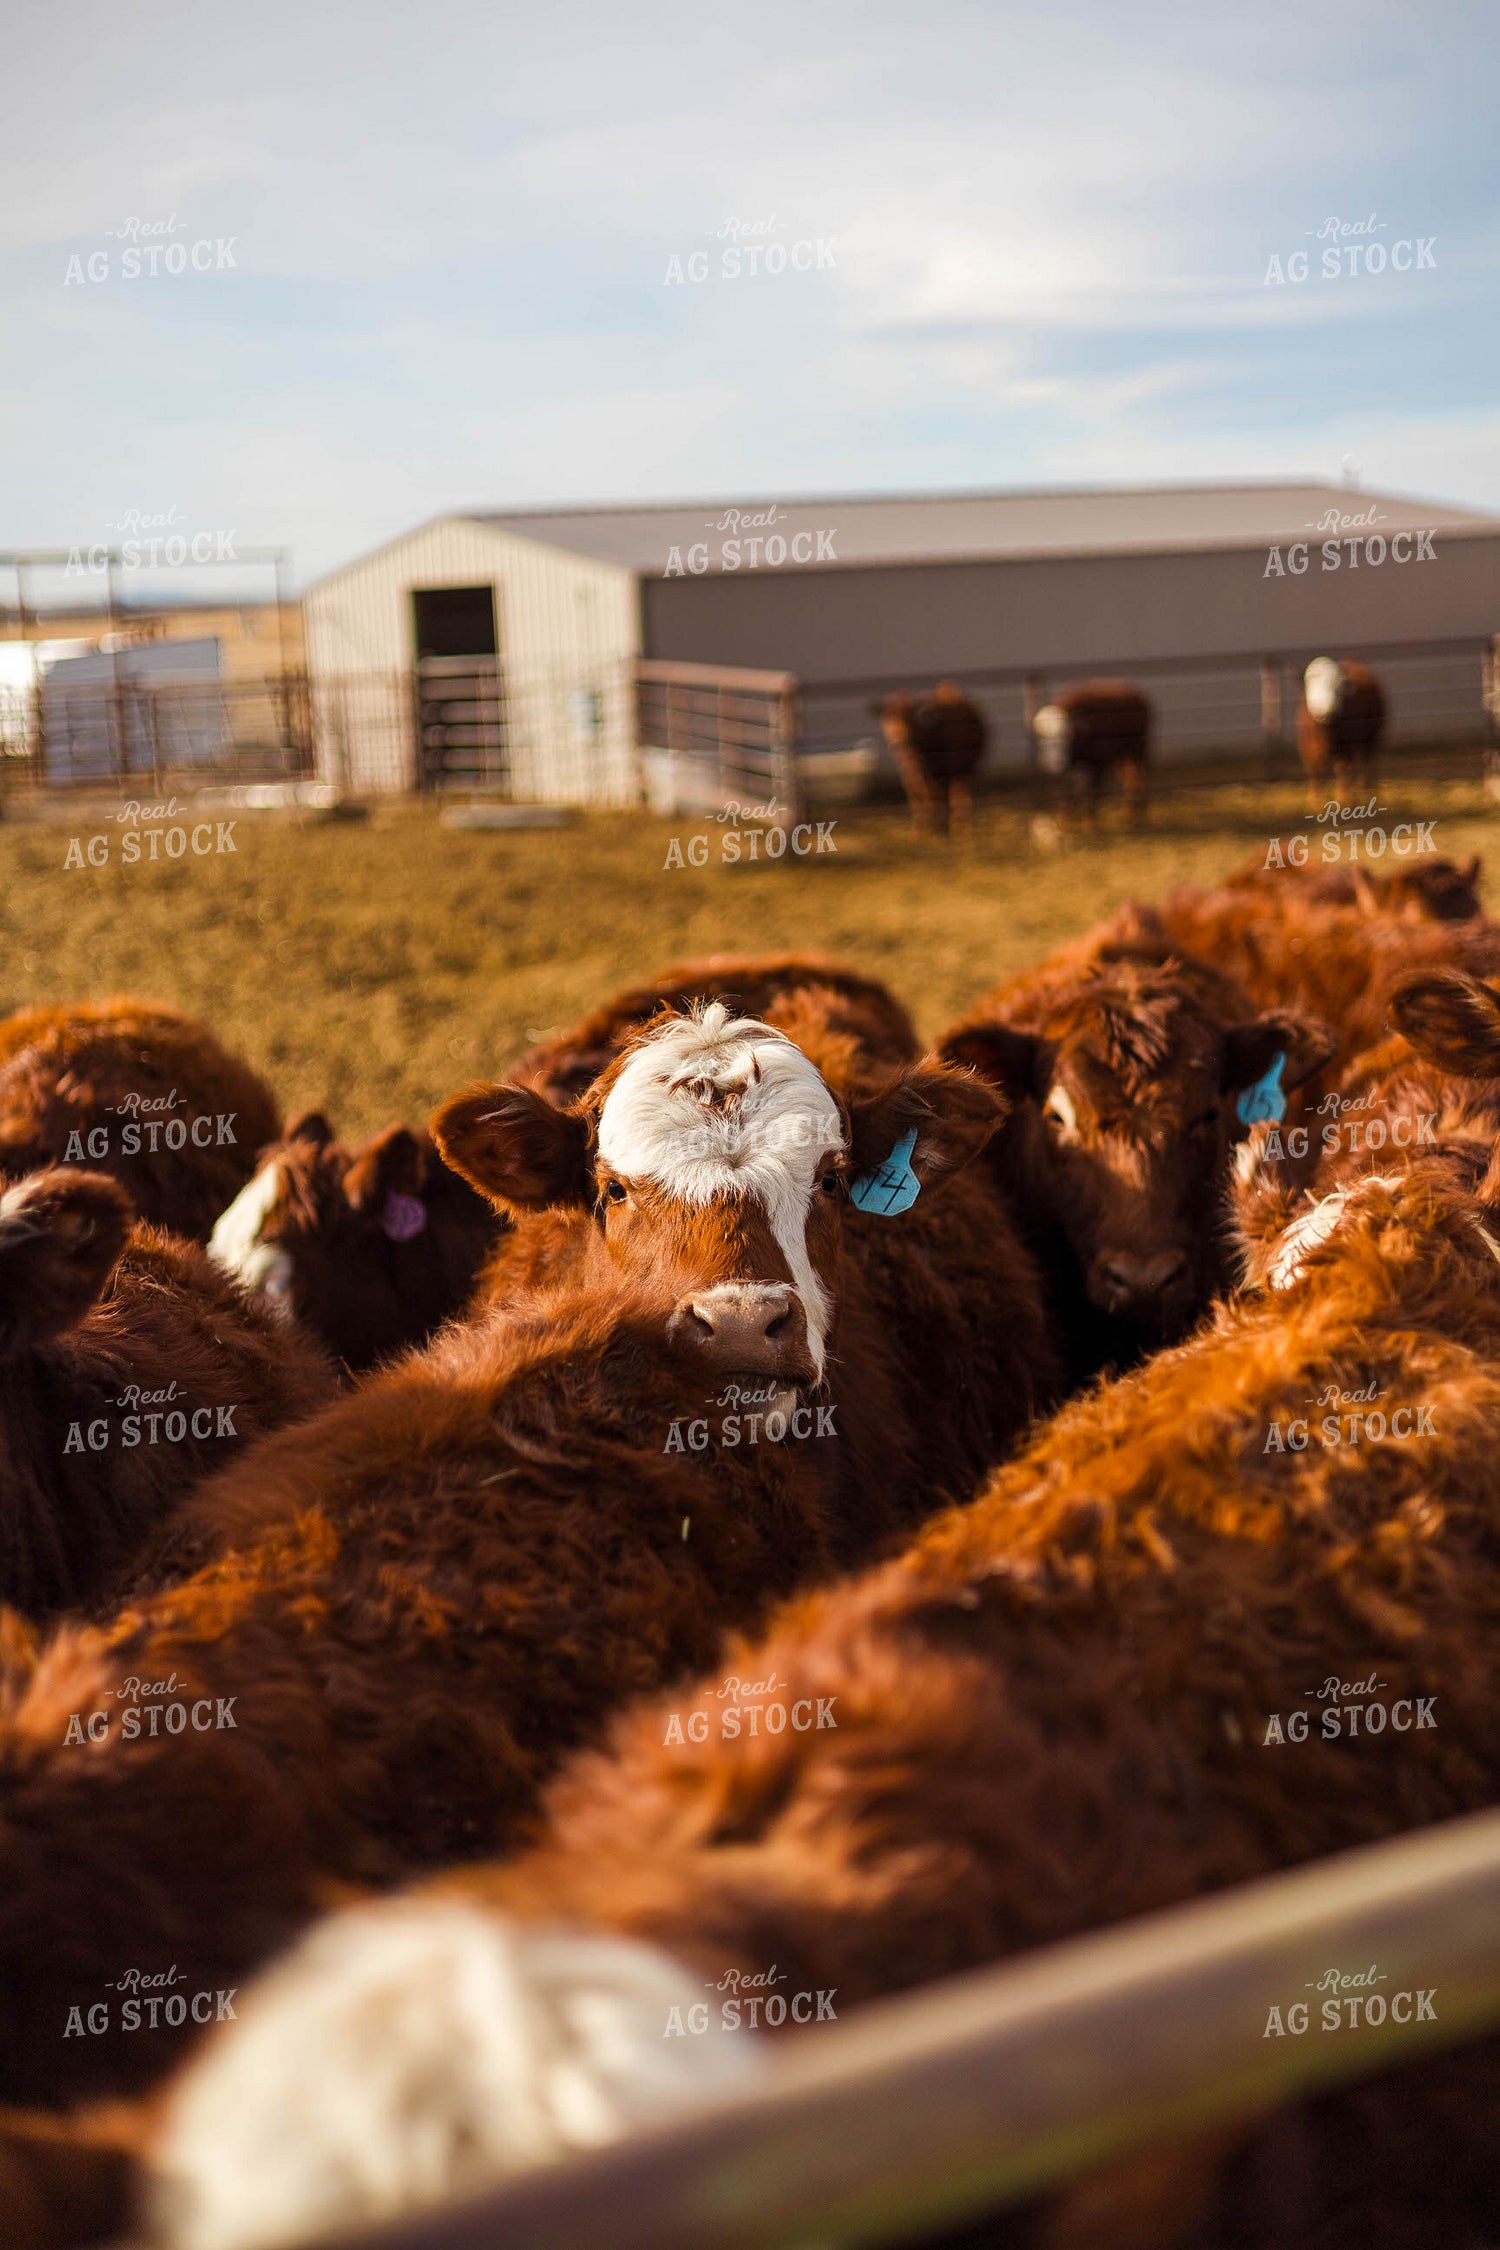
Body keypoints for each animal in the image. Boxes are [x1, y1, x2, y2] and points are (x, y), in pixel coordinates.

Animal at [1031, 681, 1151, 830]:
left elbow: (1094, 789)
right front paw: (1065, 818)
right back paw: (1127, 811)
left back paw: (1138, 813)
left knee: (1139, 775)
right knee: (1128, 775)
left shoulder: (1098, 761)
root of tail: (1138, 695)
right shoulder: (1074, 765)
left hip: (1139, 749)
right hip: (1123, 754)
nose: (1053, 763)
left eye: (1067, 736)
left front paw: (1091, 821)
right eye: (1042, 739)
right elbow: (1068, 789)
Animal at [1297, 657, 1386, 806]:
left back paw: (1365, 791)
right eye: (1310, 682)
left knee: (1364, 763)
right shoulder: (1307, 747)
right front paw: (1314, 799)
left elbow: (1343, 769)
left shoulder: (1345, 746)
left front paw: (1343, 797)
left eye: (1337, 686)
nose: (1324, 710)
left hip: (1370, 738)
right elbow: (1314, 769)